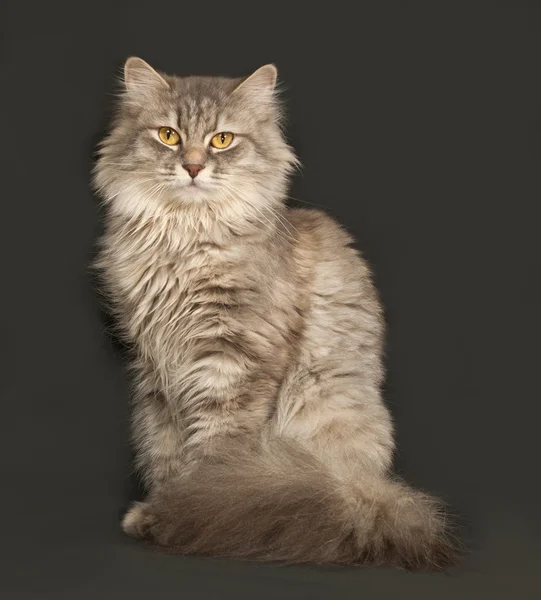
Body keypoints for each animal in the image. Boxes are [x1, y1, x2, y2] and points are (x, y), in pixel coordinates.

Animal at [93, 58, 456, 568]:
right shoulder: (157, 369)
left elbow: (213, 450)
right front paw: (160, 507)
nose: (192, 167)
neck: (185, 241)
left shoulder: (233, 360)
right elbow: (167, 449)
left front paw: (188, 510)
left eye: (222, 140)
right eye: (168, 135)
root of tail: (360, 493)